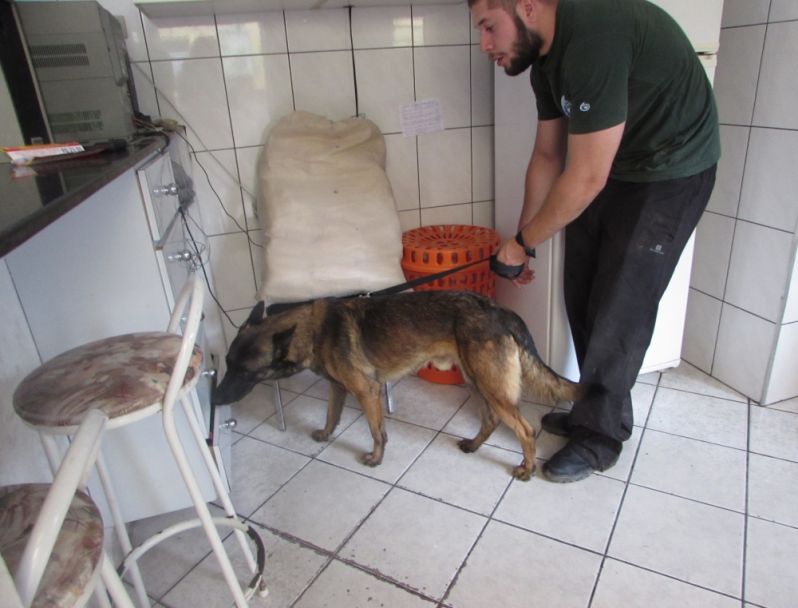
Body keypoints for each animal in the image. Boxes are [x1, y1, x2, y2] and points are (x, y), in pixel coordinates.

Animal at [214, 290, 588, 480]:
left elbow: (377, 431)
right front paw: (325, 434)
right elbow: (331, 415)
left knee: (525, 430)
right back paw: (473, 445)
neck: (312, 331)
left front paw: (376, 458)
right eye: (227, 363)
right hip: (478, 382)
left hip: (491, 387)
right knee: (492, 419)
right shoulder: (339, 388)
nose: (214, 400)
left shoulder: (367, 392)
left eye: (244, 372)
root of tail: (497, 310)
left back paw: (526, 468)